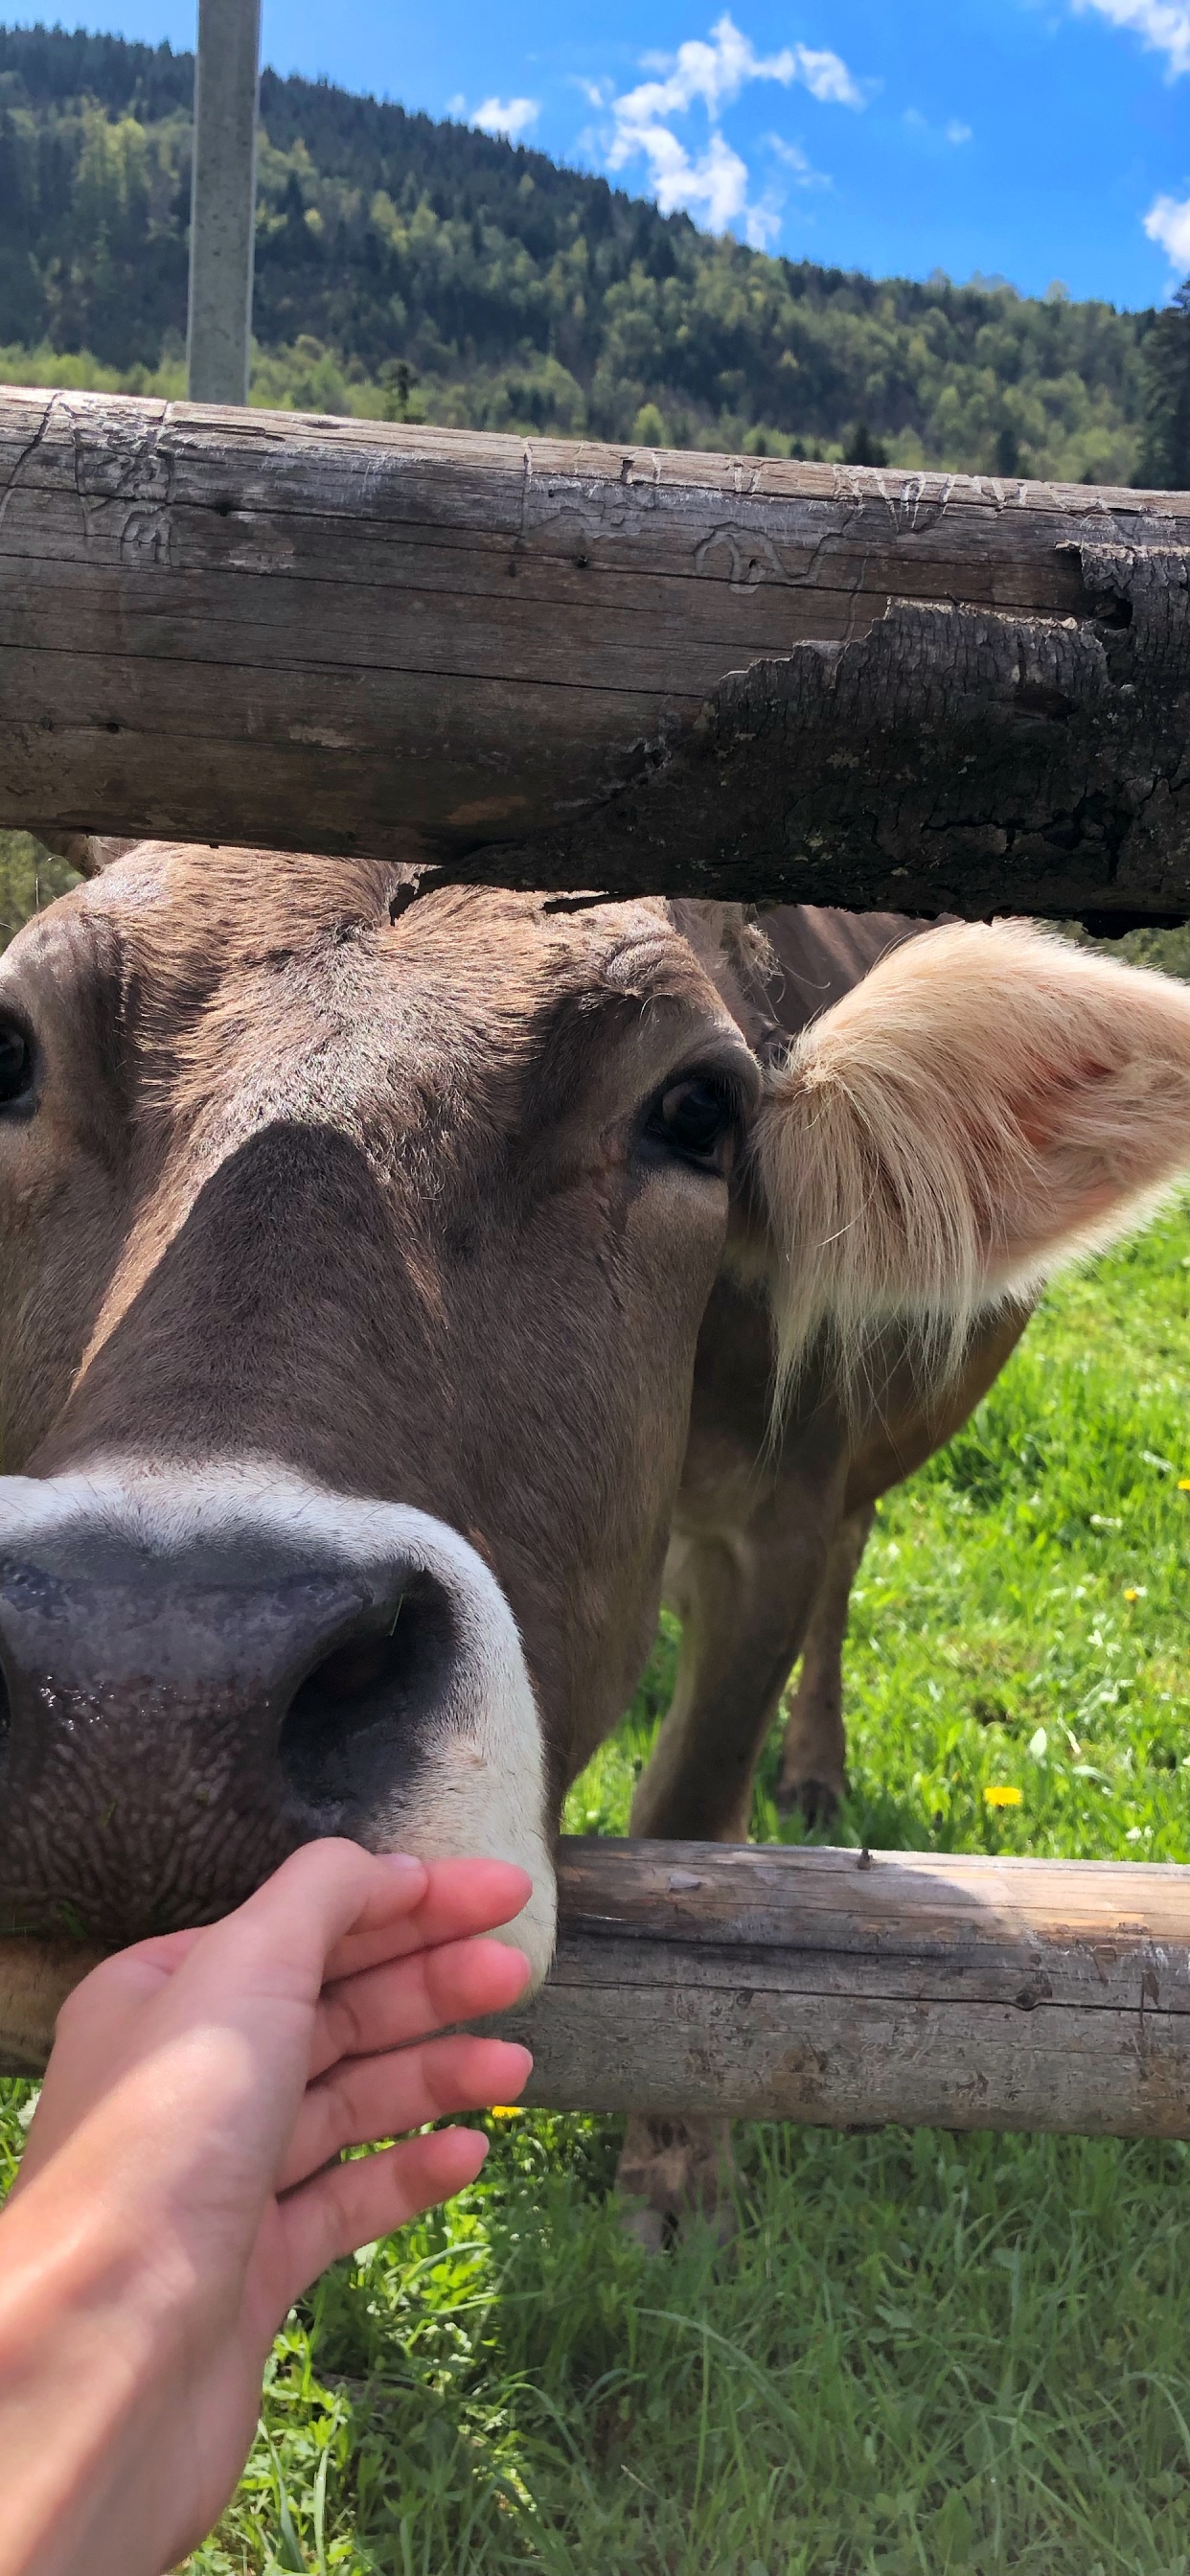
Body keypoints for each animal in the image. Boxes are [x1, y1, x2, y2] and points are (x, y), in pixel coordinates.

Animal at [1, 843, 1189, 2230]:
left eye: (697, 1110)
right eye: (9, 1050)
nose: (148, 1696)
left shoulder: (772, 1528)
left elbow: (690, 1807)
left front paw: (677, 2167)